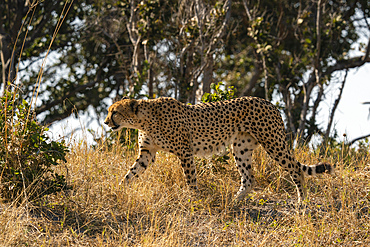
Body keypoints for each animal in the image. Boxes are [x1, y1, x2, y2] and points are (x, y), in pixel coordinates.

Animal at [104, 95, 332, 202]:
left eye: (115, 112)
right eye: (109, 111)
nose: (106, 122)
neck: (143, 120)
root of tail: (269, 102)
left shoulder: (185, 152)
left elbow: (190, 179)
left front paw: (194, 198)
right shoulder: (147, 153)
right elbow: (130, 174)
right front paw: (118, 190)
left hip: (273, 142)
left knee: (295, 170)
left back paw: (302, 201)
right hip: (241, 148)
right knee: (249, 178)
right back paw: (234, 201)